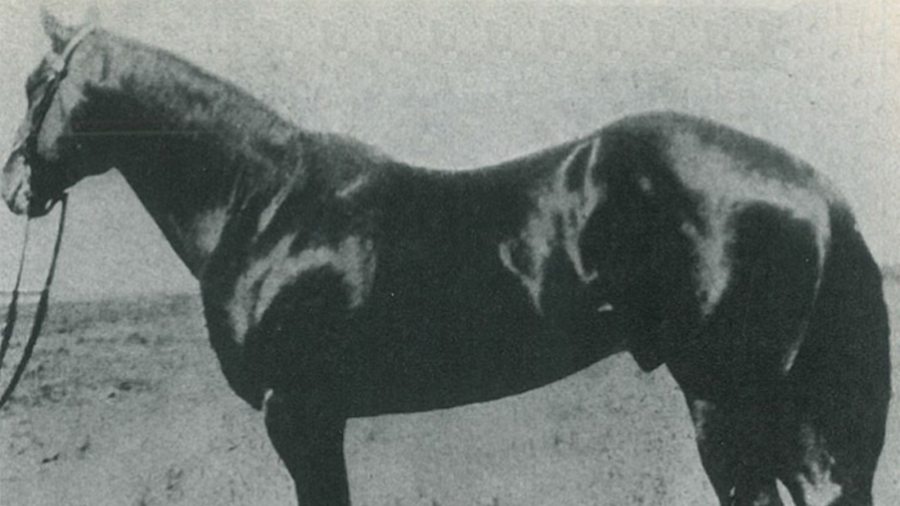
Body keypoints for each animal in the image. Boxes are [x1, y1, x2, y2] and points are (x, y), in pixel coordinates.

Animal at [2, 12, 891, 506]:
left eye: (38, 82)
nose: (15, 187)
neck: (266, 207)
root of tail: (816, 187)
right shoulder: (314, 416)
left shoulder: (300, 412)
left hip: (726, 397)